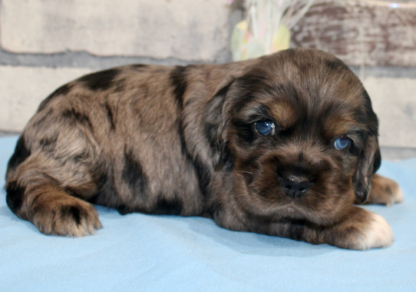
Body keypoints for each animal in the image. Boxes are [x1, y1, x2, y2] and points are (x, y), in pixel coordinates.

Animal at [4, 48, 404, 249]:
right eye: (264, 126)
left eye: (342, 142)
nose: (295, 182)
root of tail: (35, 120)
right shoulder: (238, 205)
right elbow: (297, 219)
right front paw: (362, 223)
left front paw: (378, 186)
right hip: (77, 142)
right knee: (25, 181)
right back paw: (63, 207)